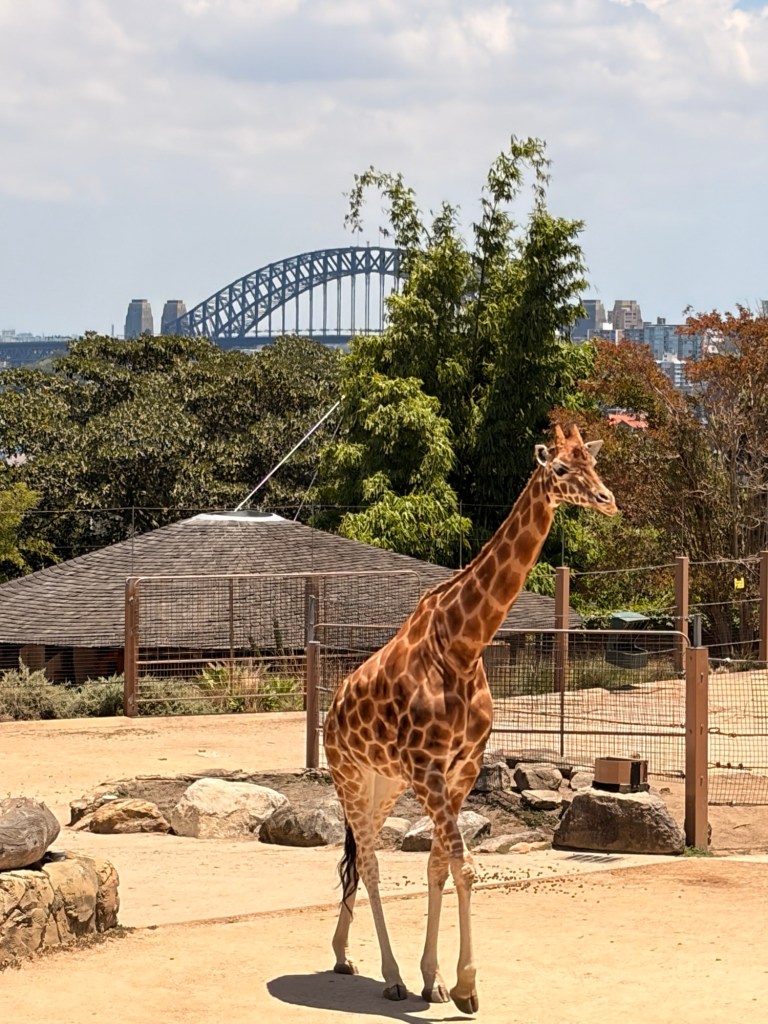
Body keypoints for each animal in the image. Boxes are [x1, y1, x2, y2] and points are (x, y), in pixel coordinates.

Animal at [322, 422, 617, 1013]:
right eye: (561, 469)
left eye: (593, 464)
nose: (607, 500)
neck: (463, 645)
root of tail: (331, 708)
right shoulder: (429, 768)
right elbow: (464, 864)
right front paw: (464, 986)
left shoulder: (462, 768)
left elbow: (440, 865)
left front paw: (435, 979)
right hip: (349, 775)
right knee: (370, 861)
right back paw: (389, 976)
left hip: (382, 782)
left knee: (359, 858)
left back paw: (344, 956)